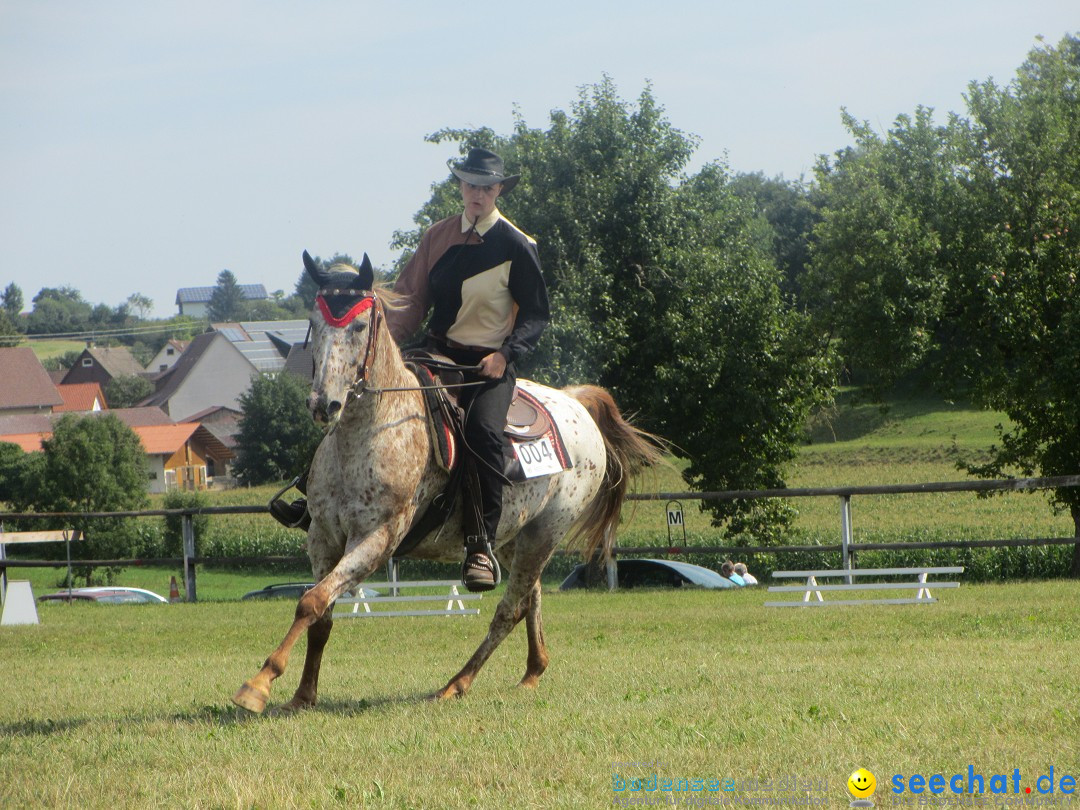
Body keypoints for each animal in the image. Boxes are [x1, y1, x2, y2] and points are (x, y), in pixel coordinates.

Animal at [232, 250, 660, 712]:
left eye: (360, 326)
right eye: (314, 322)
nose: (323, 403)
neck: (371, 432)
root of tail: (574, 401)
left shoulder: (376, 540)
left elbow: (311, 601)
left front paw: (258, 684)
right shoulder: (323, 539)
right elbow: (320, 614)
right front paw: (303, 694)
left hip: (545, 534)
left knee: (509, 609)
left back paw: (458, 682)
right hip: (511, 537)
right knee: (530, 597)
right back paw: (532, 672)